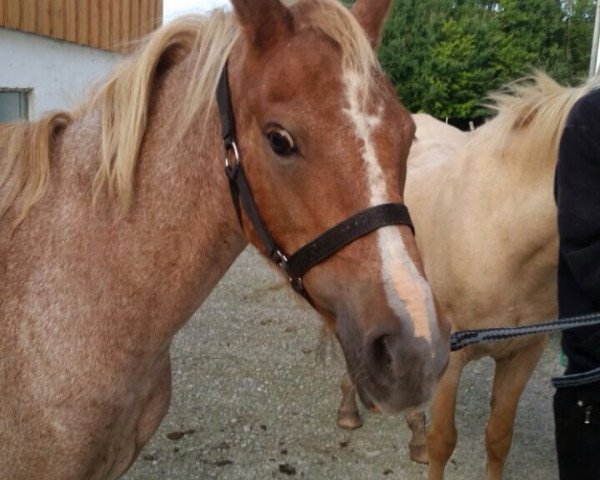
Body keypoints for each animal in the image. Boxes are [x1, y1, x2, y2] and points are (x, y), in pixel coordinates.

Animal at [336, 72, 596, 480]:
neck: (500, 236)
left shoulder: (523, 354)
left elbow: (498, 437)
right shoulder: (452, 358)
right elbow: (443, 441)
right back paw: (350, 410)